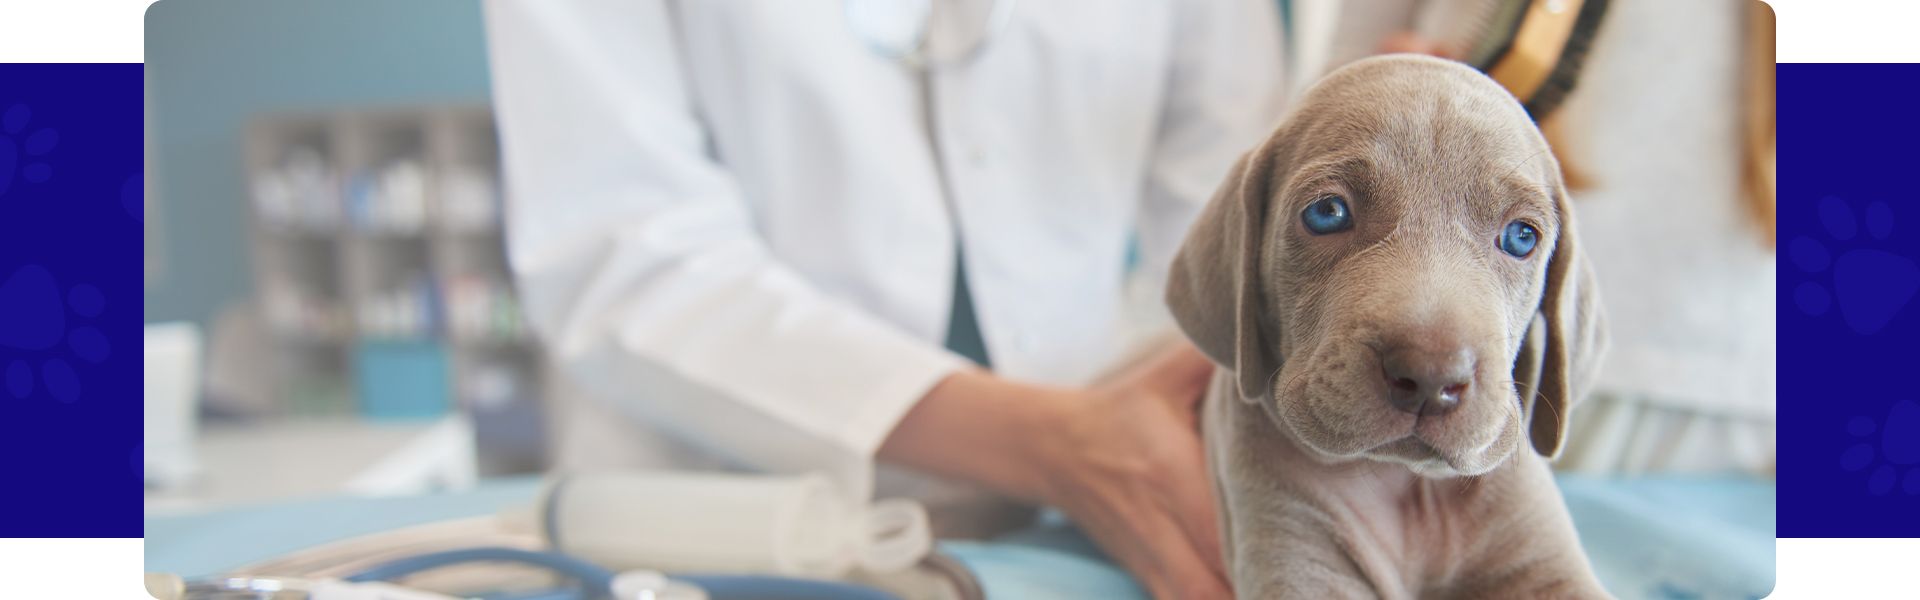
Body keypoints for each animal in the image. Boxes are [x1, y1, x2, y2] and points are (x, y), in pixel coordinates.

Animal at [1167, 53, 1605, 596]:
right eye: (1327, 212)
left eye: (1522, 237)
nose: (1431, 377)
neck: (1407, 485)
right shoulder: (1297, 557)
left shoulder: (1545, 560)